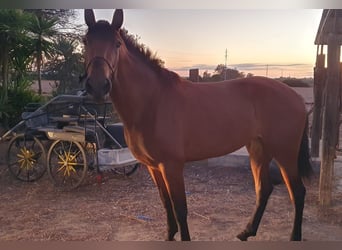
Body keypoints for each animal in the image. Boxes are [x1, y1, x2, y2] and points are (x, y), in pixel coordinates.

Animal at [83, 9, 312, 240]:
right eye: (85, 41)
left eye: (117, 44)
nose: (97, 86)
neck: (152, 102)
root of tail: (296, 97)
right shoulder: (153, 167)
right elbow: (166, 204)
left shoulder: (172, 166)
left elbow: (180, 209)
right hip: (258, 149)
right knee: (264, 189)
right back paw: (247, 232)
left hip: (285, 153)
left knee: (298, 192)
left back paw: (294, 236)